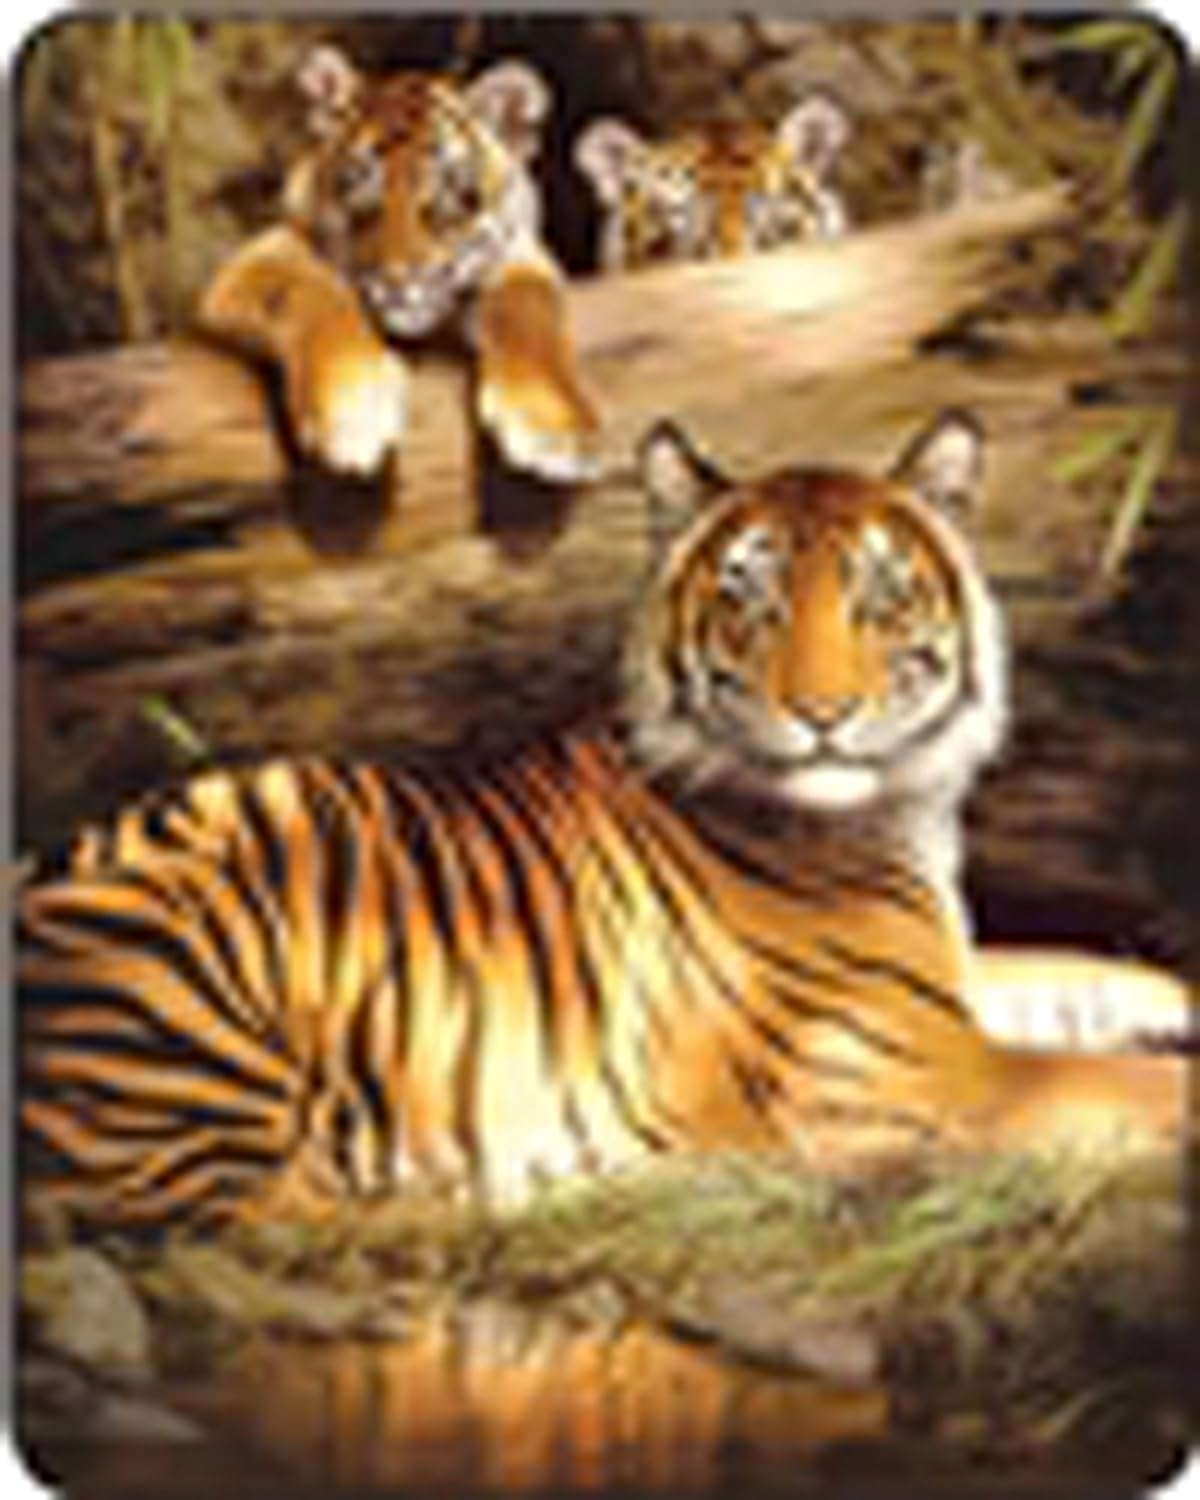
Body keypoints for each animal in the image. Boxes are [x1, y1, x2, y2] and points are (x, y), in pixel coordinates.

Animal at [18, 413, 1190, 1230]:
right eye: (752, 600)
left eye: (876, 597)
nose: (822, 714)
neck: (893, 812)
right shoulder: (915, 1066)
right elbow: (1126, 1081)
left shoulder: (940, 986)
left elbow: (1083, 976)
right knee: (264, 1219)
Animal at [198, 46, 598, 482]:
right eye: (361, 193)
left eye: (445, 198)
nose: (396, 281)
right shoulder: (263, 256)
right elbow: (314, 290)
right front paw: (354, 409)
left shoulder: (520, 256)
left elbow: (529, 306)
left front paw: (555, 428)